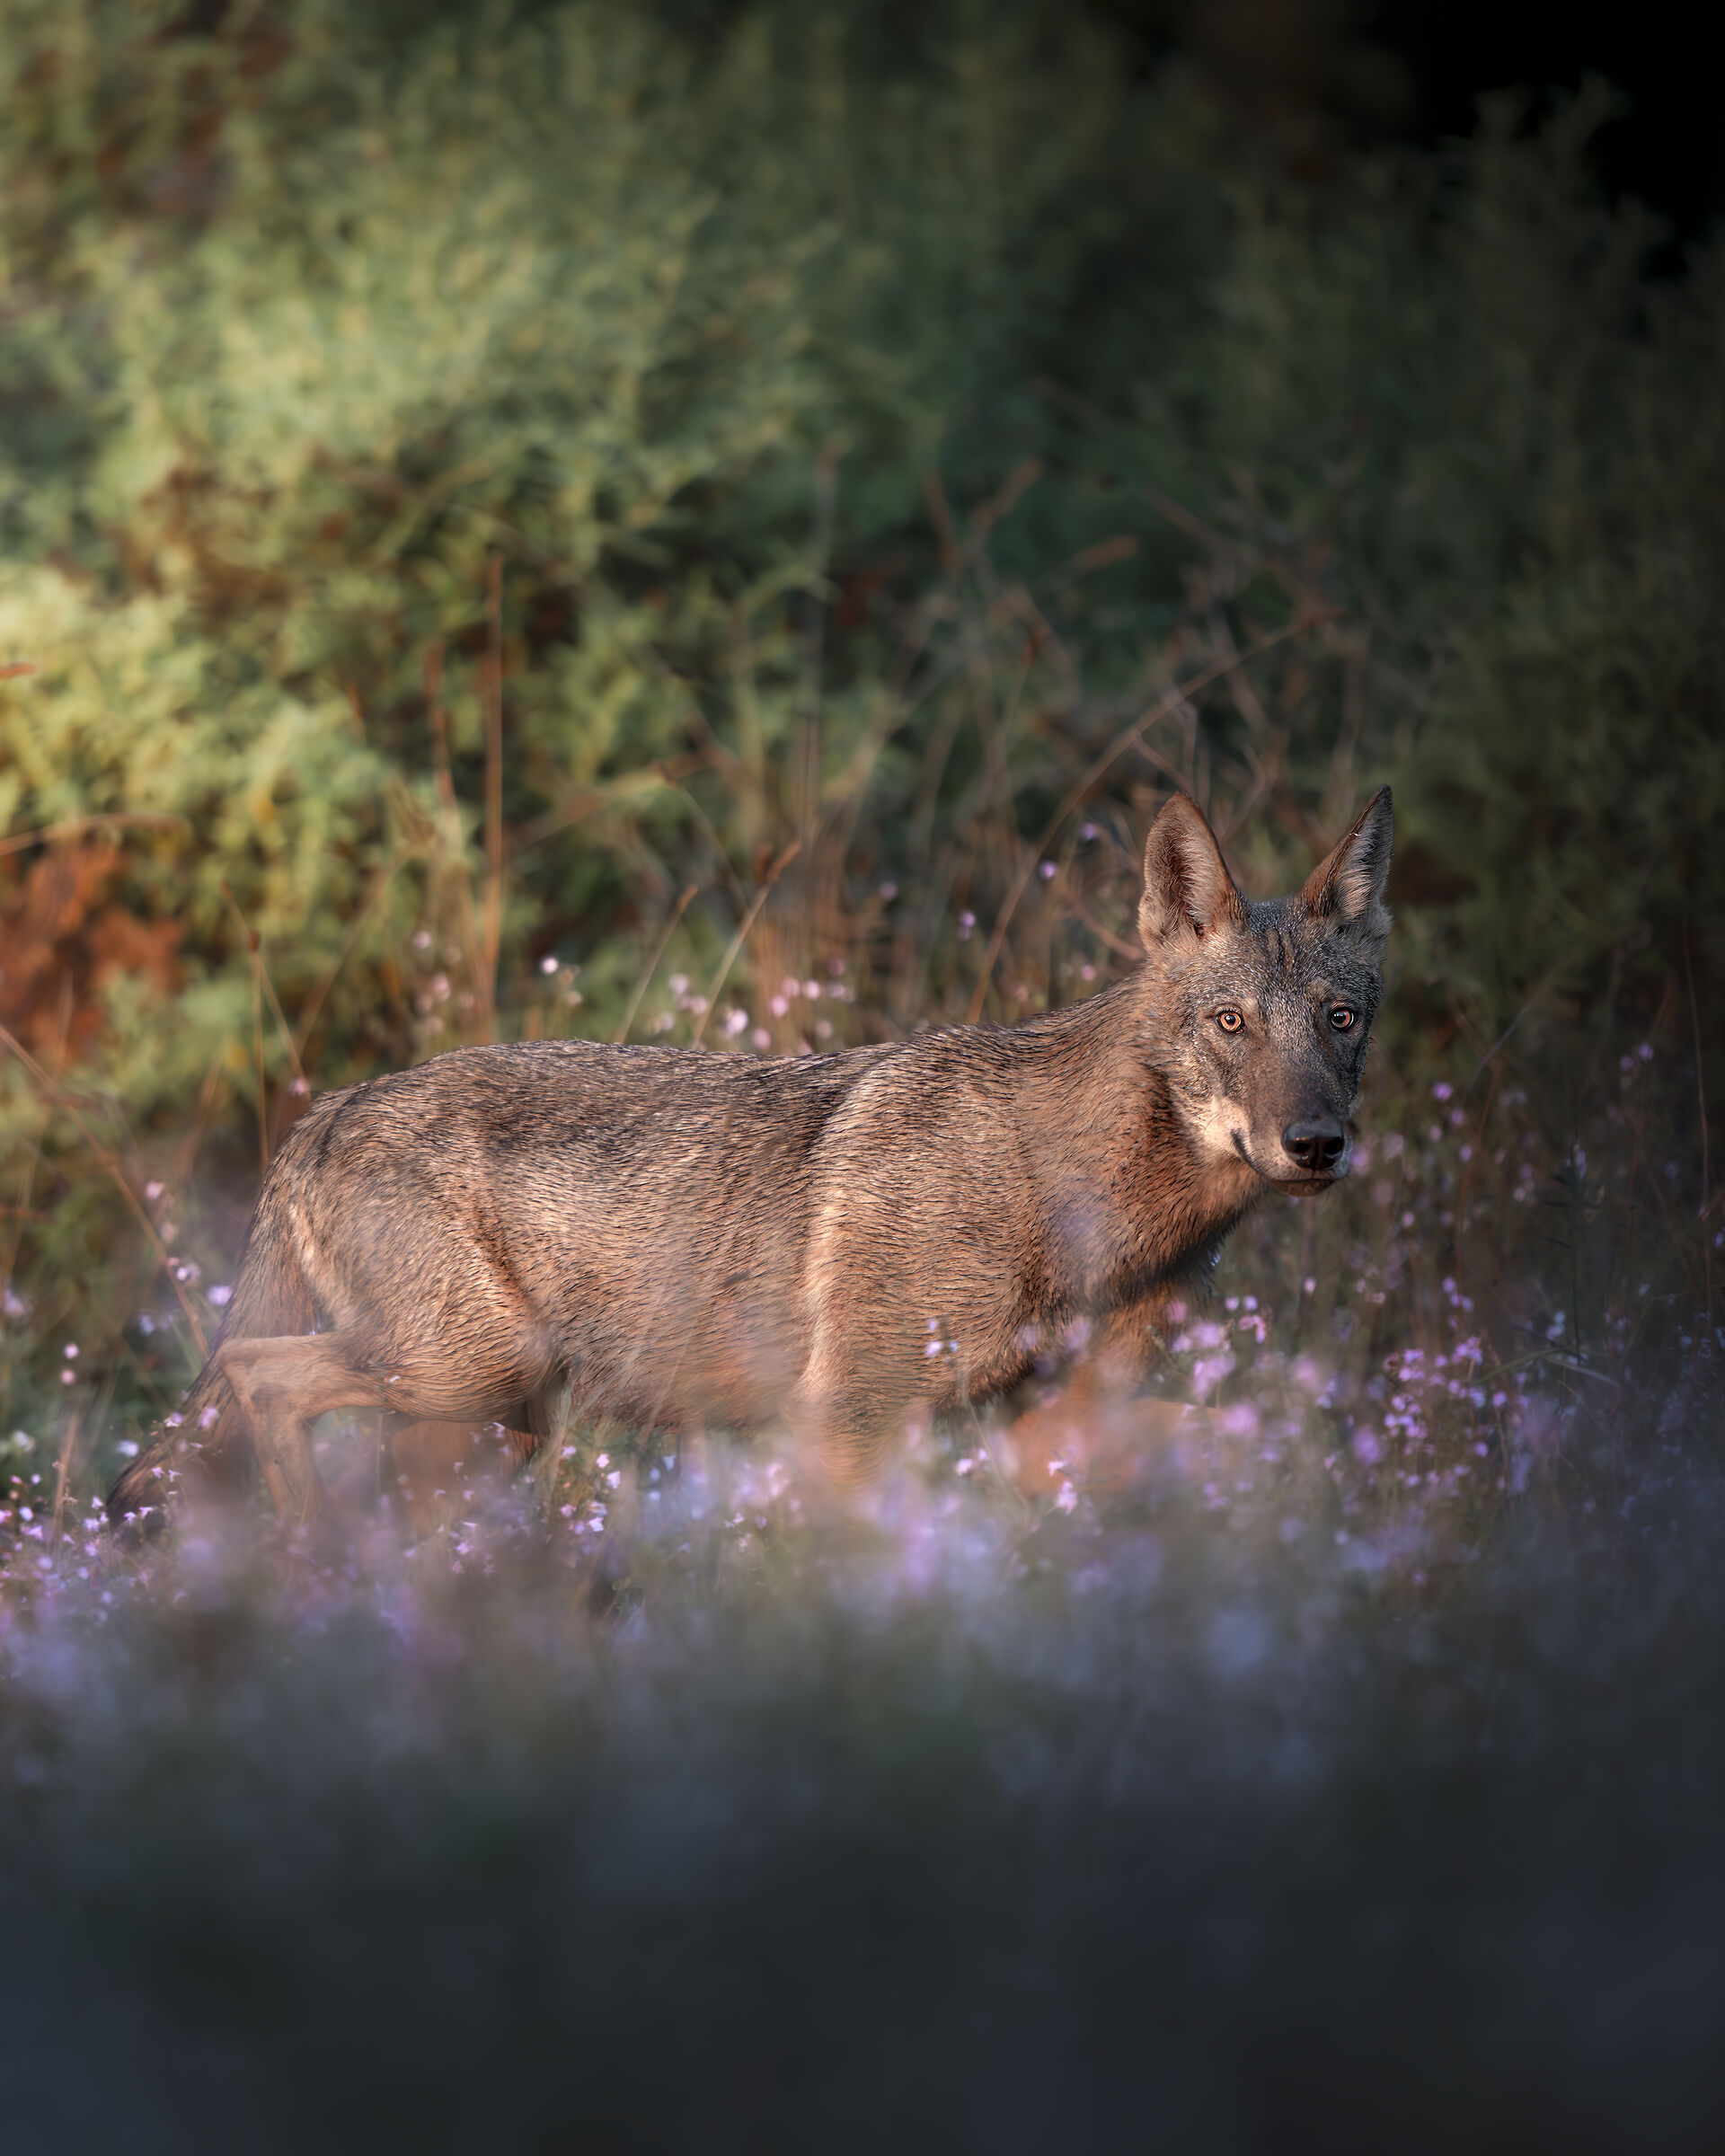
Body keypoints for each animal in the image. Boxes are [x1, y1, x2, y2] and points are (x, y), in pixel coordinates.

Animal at [108, 788, 1392, 1530]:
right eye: (1231, 1024)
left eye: (1339, 1021)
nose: (1315, 1144)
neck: (1080, 1205)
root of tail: (324, 1108)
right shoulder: (853, 1424)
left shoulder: (1049, 1430)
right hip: (469, 1378)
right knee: (255, 1377)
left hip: (493, 1423)